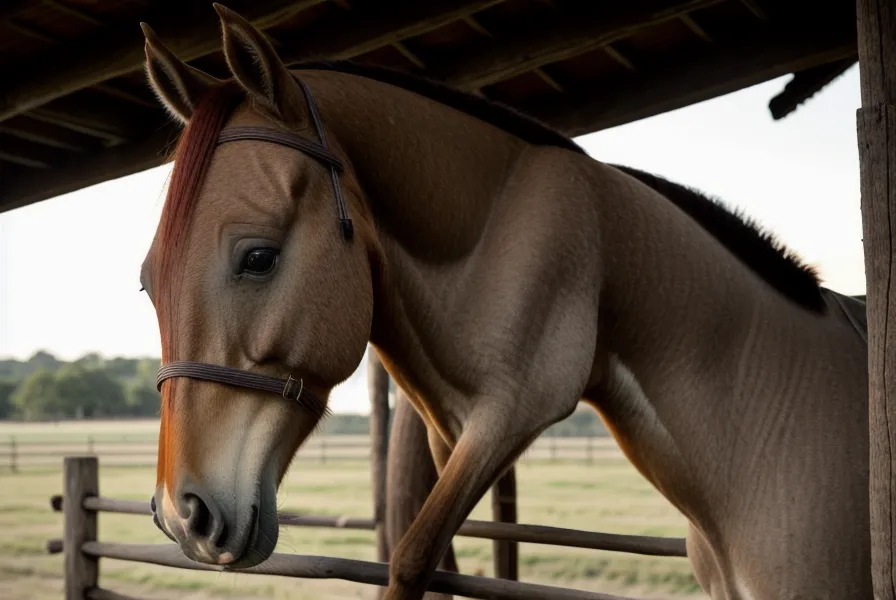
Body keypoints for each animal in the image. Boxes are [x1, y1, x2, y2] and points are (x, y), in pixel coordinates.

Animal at [139, 5, 870, 599]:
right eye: (149, 282)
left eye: (258, 257)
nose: (185, 516)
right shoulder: (456, 422)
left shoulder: (515, 399)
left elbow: (414, 555)